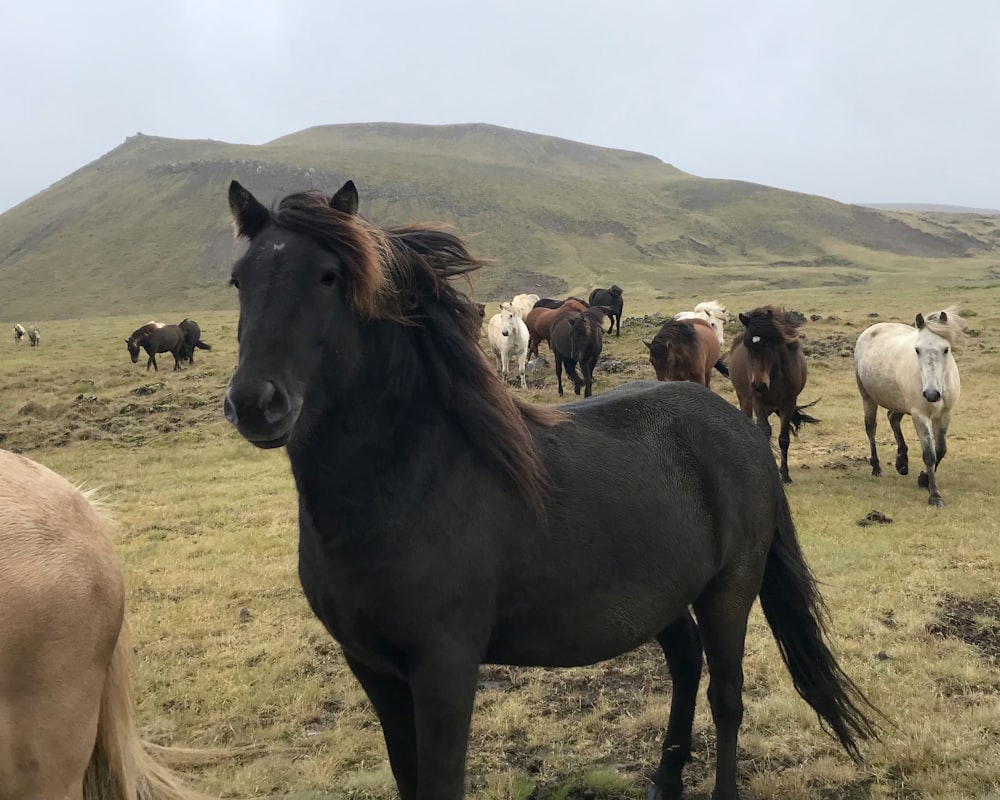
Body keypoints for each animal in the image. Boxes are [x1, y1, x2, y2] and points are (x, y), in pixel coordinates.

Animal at [728, 304, 820, 482]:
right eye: (747, 345)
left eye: (769, 343)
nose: (759, 385)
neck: (775, 375)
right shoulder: (757, 400)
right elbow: (764, 431)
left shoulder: (788, 402)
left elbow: (784, 438)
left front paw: (785, 475)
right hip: (746, 400)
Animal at [856, 306, 964, 506]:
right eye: (917, 350)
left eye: (946, 349)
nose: (931, 394)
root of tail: (873, 328)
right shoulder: (919, 414)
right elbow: (929, 454)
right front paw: (935, 495)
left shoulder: (945, 413)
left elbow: (941, 449)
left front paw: (923, 480)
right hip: (867, 397)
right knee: (871, 428)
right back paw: (877, 467)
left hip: (901, 403)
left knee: (892, 418)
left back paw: (902, 462)